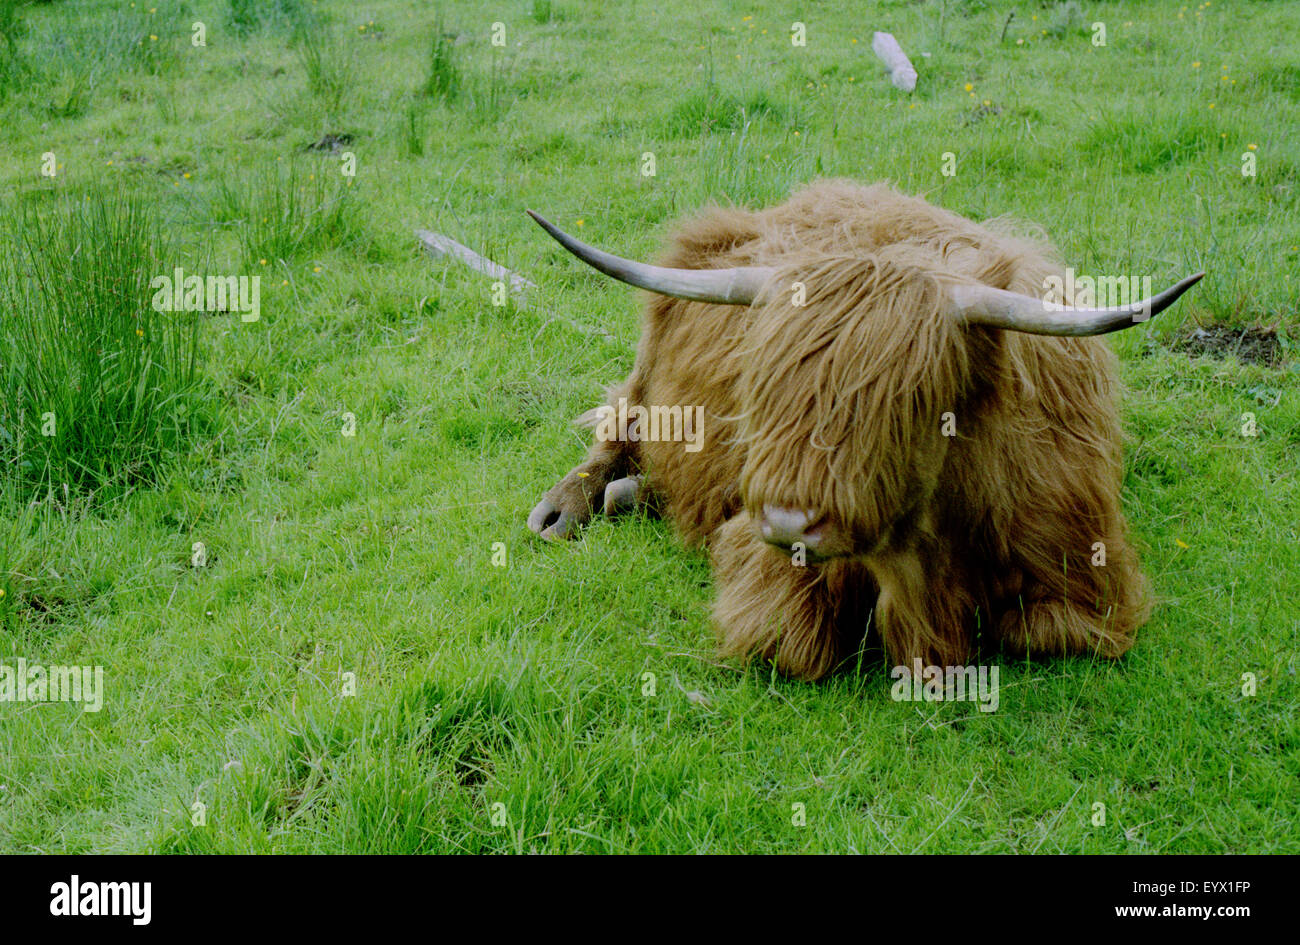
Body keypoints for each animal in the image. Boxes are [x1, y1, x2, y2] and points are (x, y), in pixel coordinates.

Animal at [524, 180, 1203, 681]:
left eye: (906, 402)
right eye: (759, 387)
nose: (788, 523)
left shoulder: (1085, 574)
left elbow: (1041, 633)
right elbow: (788, 643)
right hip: (650, 359)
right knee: (621, 421)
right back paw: (569, 506)